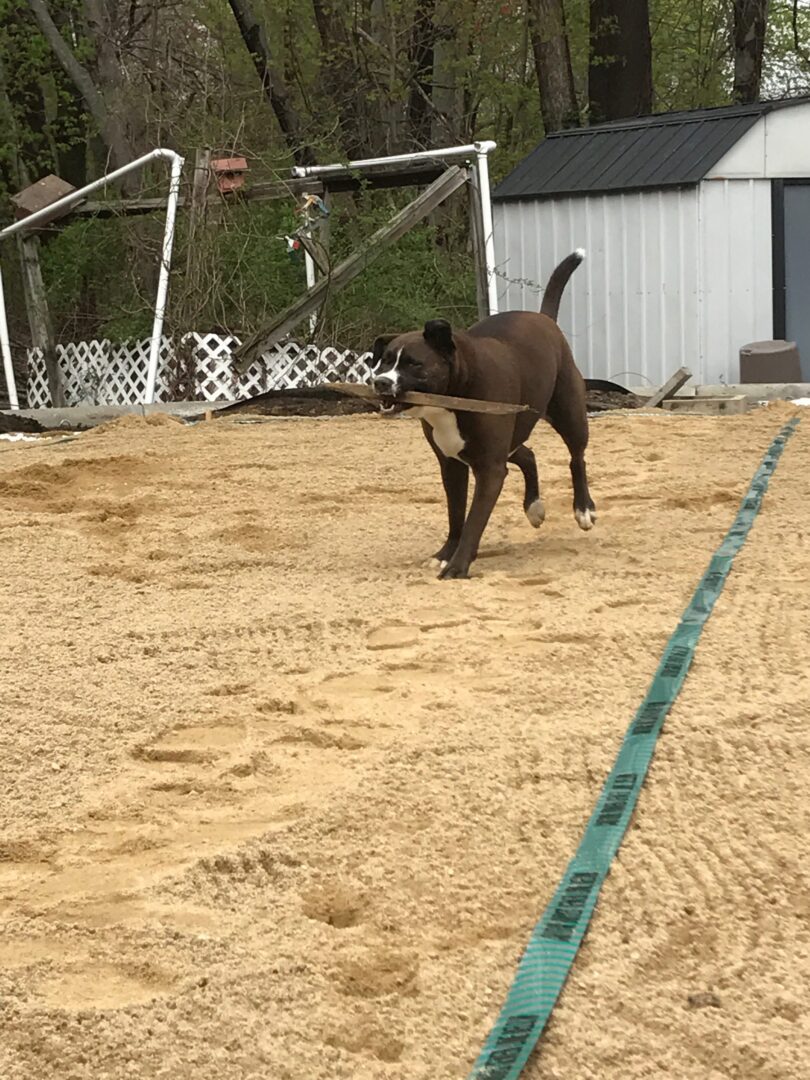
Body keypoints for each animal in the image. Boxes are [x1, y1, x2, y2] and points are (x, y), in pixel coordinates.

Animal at [371, 250, 591, 583]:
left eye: (414, 364)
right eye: (384, 361)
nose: (381, 382)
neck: (454, 397)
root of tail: (544, 319)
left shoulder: (489, 469)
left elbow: (475, 519)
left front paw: (457, 566)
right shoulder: (452, 465)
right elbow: (456, 513)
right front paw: (445, 554)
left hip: (569, 415)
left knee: (576, 458)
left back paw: (584, 509)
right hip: (511, 436)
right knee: (528, 455)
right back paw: (534, 507)